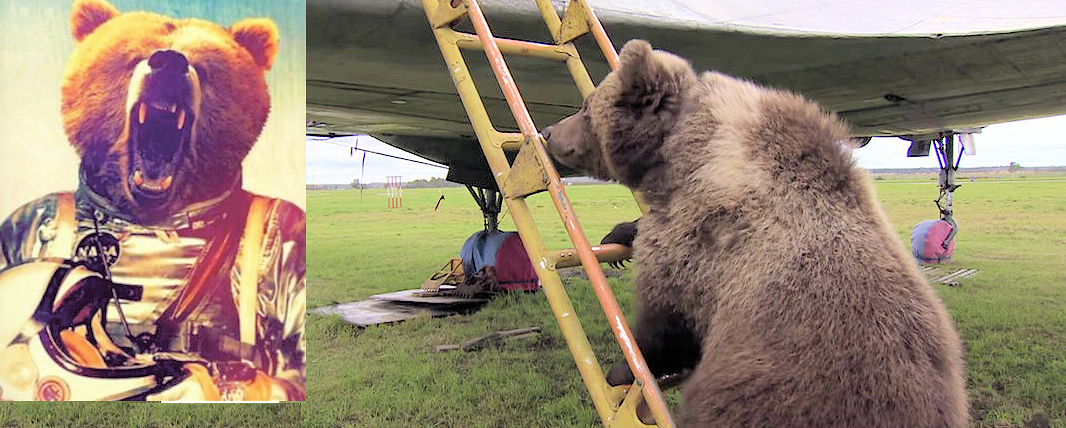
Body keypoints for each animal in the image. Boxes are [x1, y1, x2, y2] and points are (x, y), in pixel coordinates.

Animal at [0, 0, 304, 401]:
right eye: (132, 57)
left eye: (204, 68)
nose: (170, 62)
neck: (147, 218)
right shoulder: (24, 221)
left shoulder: (286, 234)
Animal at [542, 39, 968, 427]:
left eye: (585, 107)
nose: (547, 131)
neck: (685, 155)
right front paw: (620, 232)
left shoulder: (703, 248)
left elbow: (667, 320)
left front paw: (623, 368)